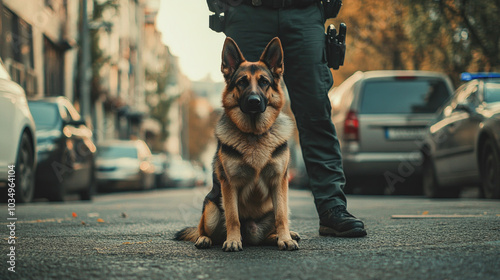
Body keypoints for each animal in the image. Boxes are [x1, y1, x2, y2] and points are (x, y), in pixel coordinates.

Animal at [175, 37, 298, 252]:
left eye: (264, 82)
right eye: (242, 82)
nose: (254, 101)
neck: (254, 135)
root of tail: (252, 235)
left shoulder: (279, 182)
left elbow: (281, 216)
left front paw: (285, 239)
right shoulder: (229, 185)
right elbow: (233, 217)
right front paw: (233, 241)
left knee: (275, 222)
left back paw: (280, 235)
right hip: (212, 208)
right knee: (204, 230)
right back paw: (205, 239)